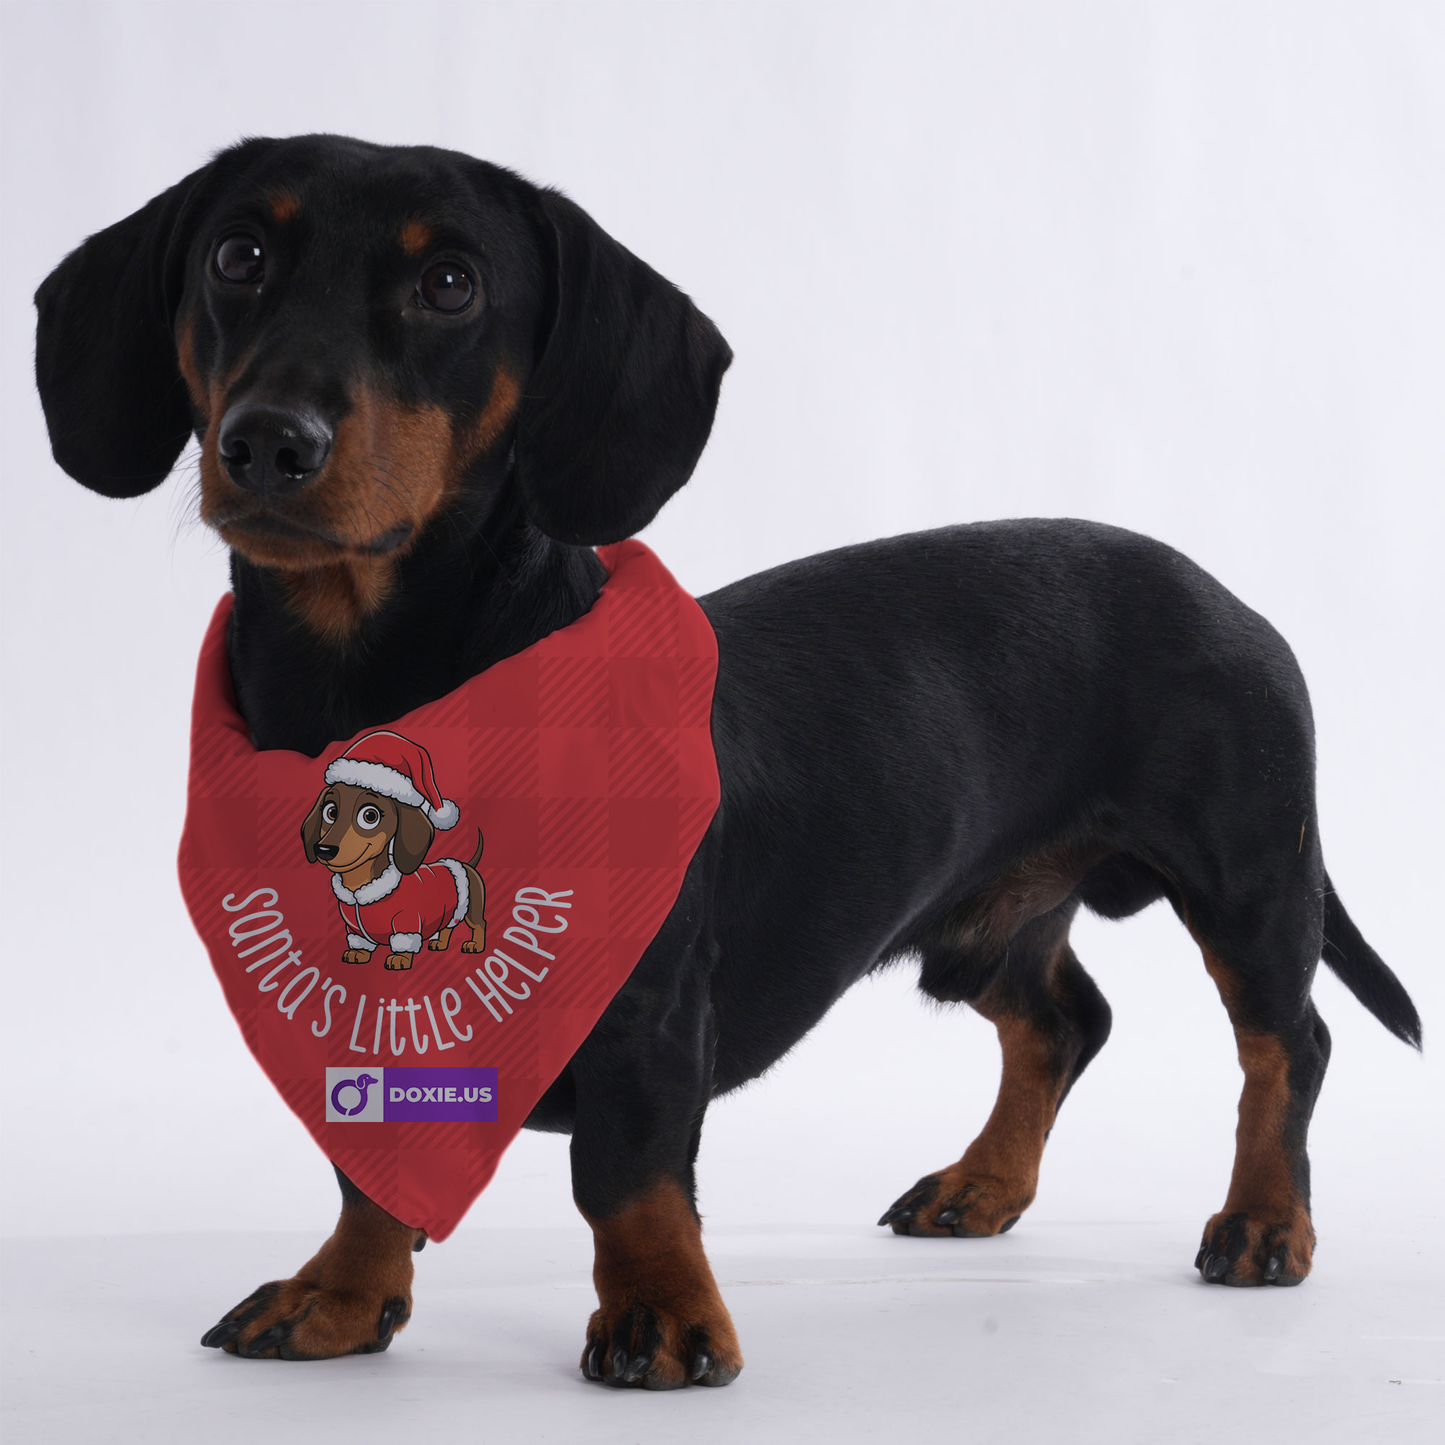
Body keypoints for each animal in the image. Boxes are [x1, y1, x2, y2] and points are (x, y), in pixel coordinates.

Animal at [36, 135, 1421, 1387]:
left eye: (451, 285)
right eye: (237, 255)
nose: (268, 441)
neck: (379, 685)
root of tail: (1227, 594)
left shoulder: (650, 1007)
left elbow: (628, 1169)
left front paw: (660, 1311)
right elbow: (367, 1159)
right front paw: (338, 1289)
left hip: (1248, 878)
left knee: (1285, 1043)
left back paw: (1264, 1219)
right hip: (983, 925)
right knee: (1066, 1020)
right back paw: (981, 1183)